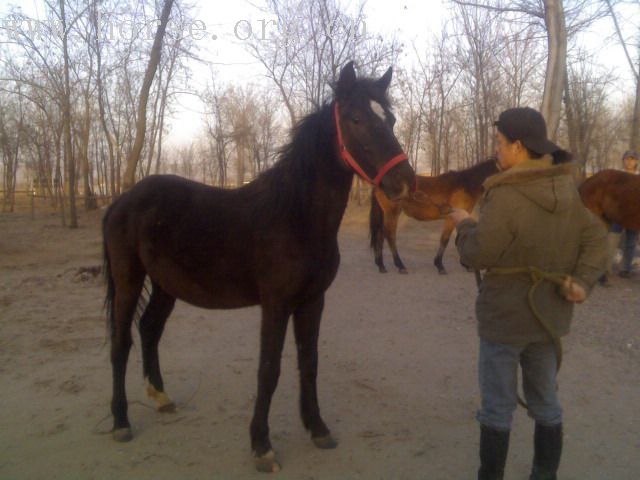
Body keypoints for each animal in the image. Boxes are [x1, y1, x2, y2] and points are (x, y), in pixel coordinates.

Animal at [102, 61, 416, 472]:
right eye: (357, 118)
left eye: (390, 119)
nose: (405, 182)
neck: (295, 216)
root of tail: (122, 200)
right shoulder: (276, 304)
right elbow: (269, 369)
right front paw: (261, 445)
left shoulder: (313, 301)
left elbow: (309, 362)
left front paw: (318, 429)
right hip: (128, 279)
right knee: (121, 342)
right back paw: (121, 422)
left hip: (166, 285)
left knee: (150, 329)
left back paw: (161, 398)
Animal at [370, 158, 500, 274]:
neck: (466, 185)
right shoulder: (450, 218)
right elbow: (445, 240)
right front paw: (440, 266)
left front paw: (466, 266)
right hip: (392, 213)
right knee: (390, 236)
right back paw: (400, 266)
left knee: (380, 235)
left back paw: (381, 265)